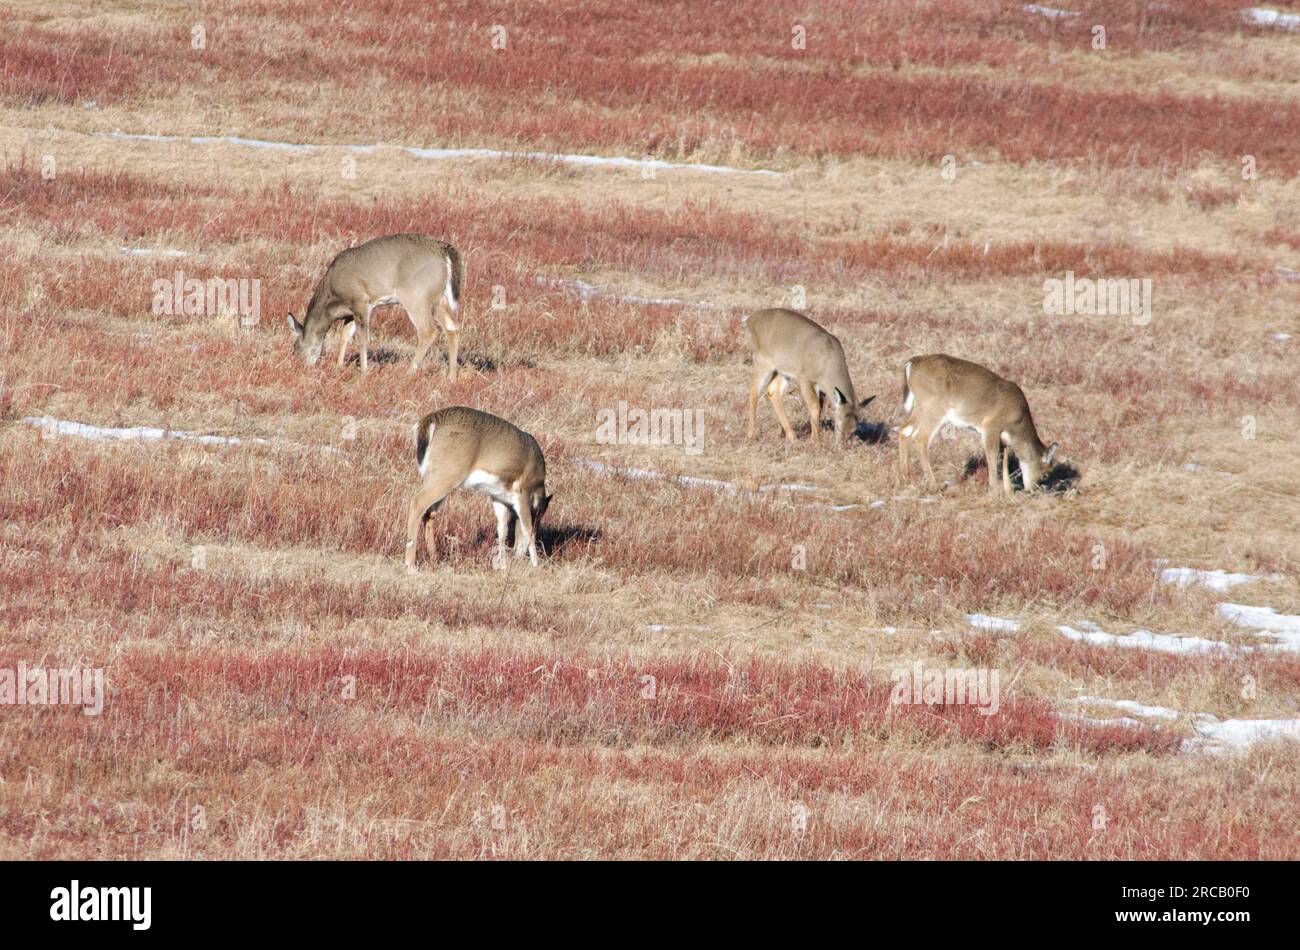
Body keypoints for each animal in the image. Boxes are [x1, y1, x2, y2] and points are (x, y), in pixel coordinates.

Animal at [288, 232, 462, 379]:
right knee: (452, 328)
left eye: (295, 347)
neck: (332, 300)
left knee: (428, 331)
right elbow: (345, 335)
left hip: (416, 295)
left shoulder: (360, 301)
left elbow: (362, 338)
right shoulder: (351, 312)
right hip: (437, 299)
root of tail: (443, 250)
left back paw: (408, 373)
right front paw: (338, 366)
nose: (299, 366)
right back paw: (451, 377)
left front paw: (364, 371)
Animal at [743, 308, 873, 449]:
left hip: (782, 370)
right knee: (754, 391)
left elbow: (818, 408)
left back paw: (791, 436)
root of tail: (749, 320)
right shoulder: (805, 378)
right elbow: (815, 406)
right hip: (762, 361)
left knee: (772, 390)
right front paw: (815, 441)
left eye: (854, 430)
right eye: (838, 425)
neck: (826, 364)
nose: (841, 446)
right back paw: (752, 436)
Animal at [899, 353, 1060, 493]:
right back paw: (934, 485)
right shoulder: (990, 426)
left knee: (904, 431)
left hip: (919, 407)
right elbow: (992, 455)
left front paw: (1008, 490)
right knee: (920, 439)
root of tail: (911, 363)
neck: (1016, 424)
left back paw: (905, 476)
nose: (1033, 490)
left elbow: (1004, 459)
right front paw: (994, 489)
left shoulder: (1003, 437)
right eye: (1046, 473)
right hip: (933, 408)